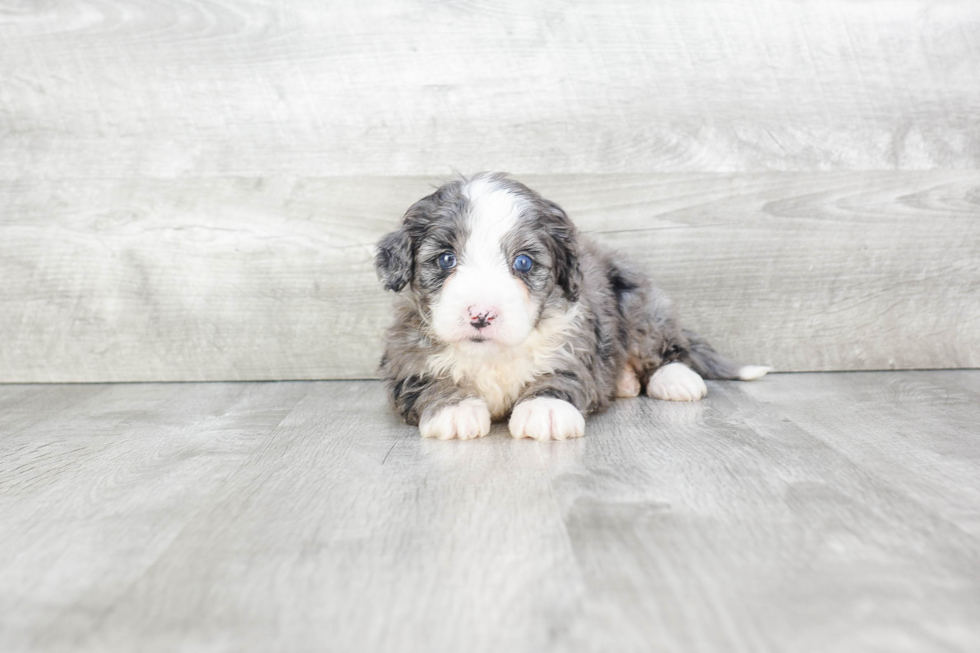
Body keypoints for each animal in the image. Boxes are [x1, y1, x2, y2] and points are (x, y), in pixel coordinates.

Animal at [374, 171, 764, 440]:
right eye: (445, 259)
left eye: (524, 263)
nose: (481, 314)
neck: (493, 356)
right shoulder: (406, 355)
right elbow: (426, 381)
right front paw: (454, 409)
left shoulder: (574, 343)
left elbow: (561, 376)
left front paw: (545, 408)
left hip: (639, 301)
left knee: (664, 348)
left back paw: (675, 379)